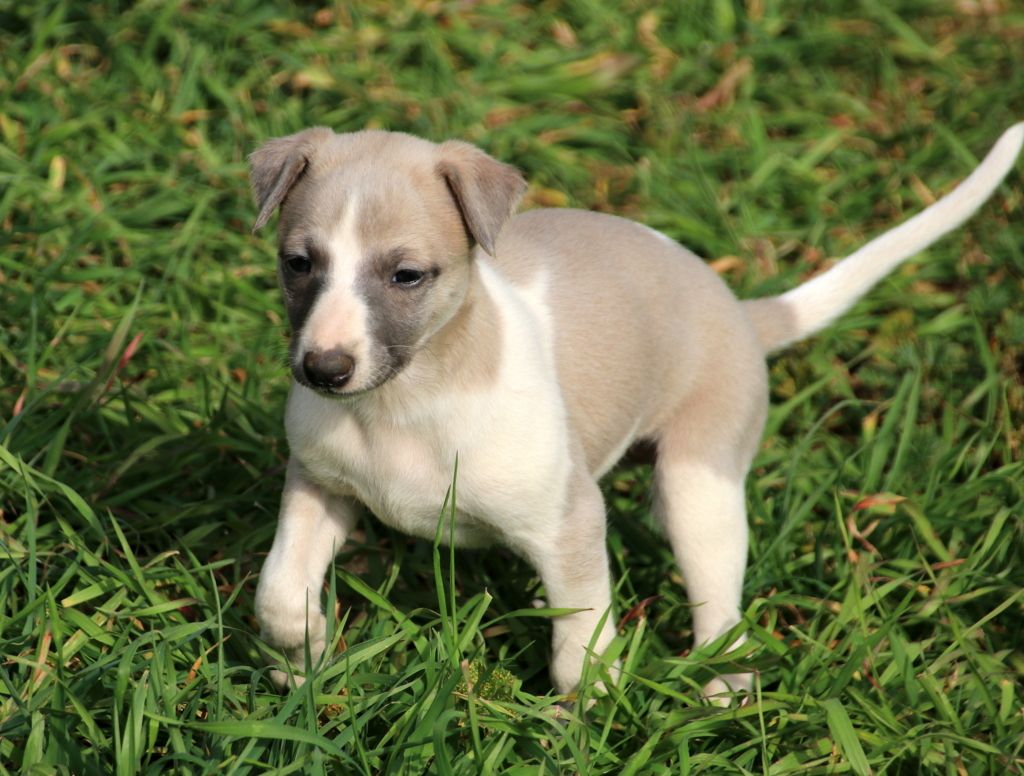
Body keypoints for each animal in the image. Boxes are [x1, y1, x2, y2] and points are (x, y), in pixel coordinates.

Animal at [249, 122, 1023, 698]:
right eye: (298, 263)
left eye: (406, 275)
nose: (324, 370)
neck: (402, 403)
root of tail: (739, 311)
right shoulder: (320, 486)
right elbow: (277, 590)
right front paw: (304, 658)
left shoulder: (569, 523)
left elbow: (581, 648)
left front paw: (584, 721)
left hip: (698, 487)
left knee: (722, 616)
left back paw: (719, 700)